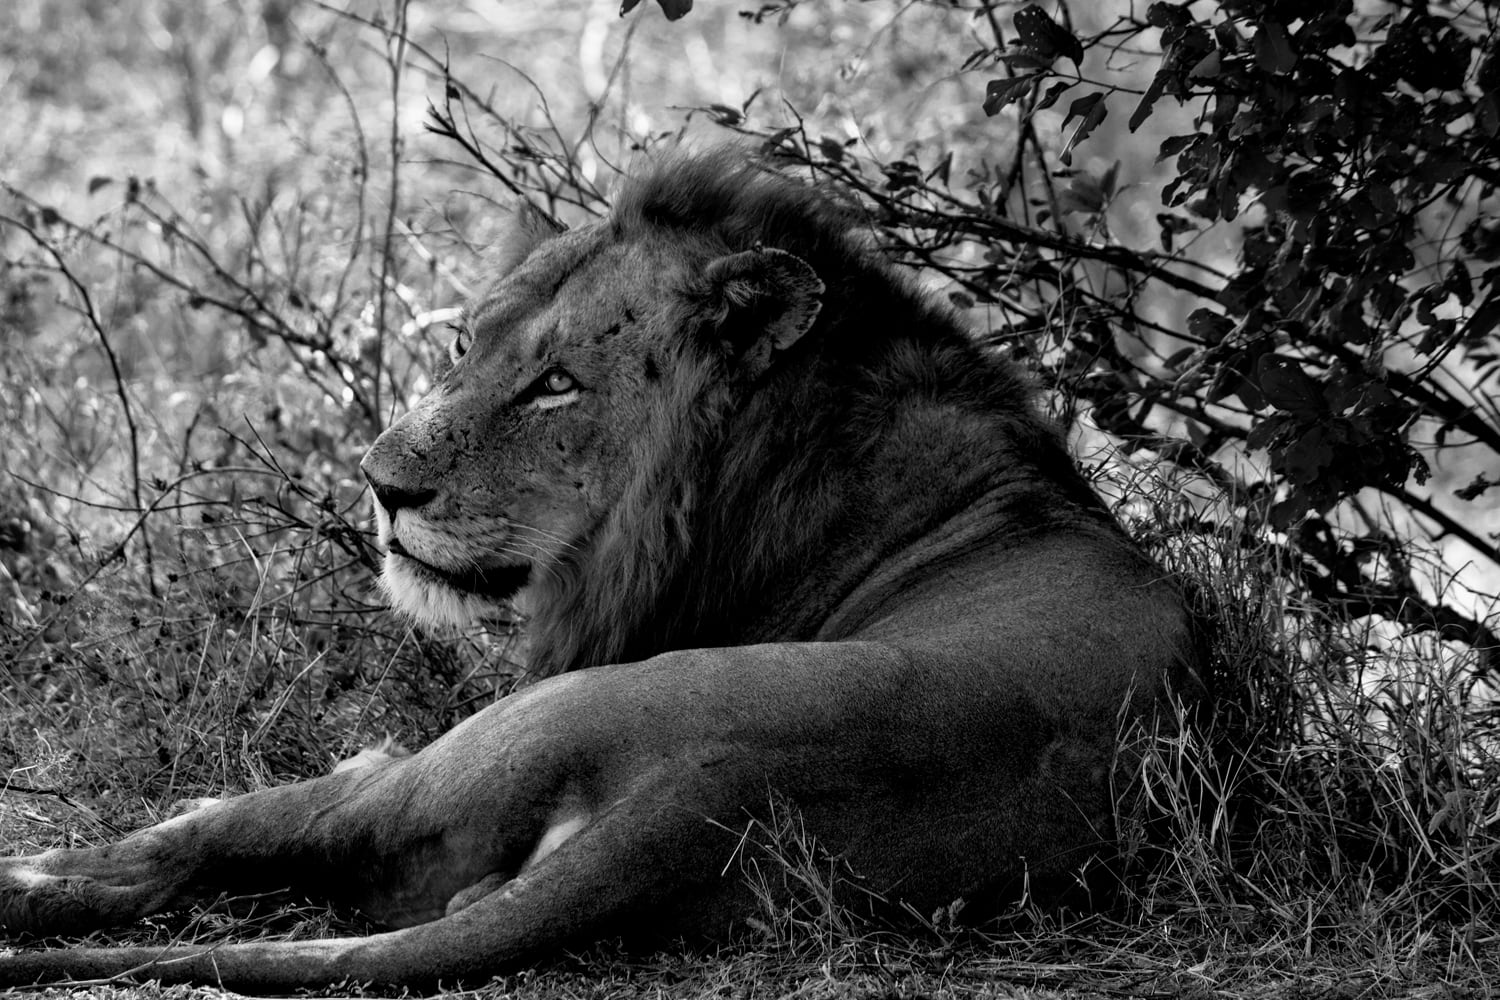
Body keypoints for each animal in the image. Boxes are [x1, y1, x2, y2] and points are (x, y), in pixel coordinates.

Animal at [0, 151, 1198, 991]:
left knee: (240, 829)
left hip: (485, 744)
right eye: (463, 345)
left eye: (556, 386)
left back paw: (40, 875)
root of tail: (700, 797)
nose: (382, 486)